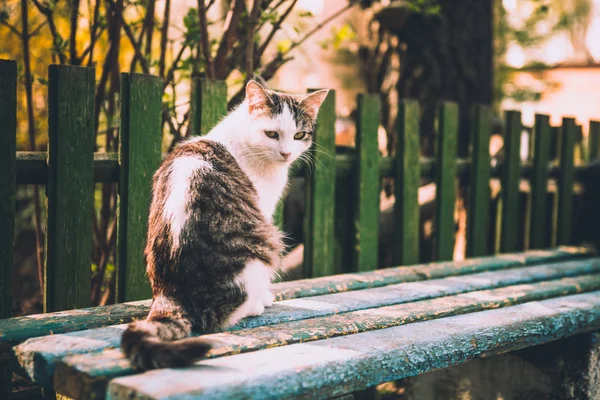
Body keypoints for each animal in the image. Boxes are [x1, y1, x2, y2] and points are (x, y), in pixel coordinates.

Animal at [120, 79, 330, 370]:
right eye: (271, 134)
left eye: (299, 135)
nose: (286, 153)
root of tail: (169, 290)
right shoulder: (263, 210)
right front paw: (265, 296)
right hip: (264, 244)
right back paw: (255, 304)